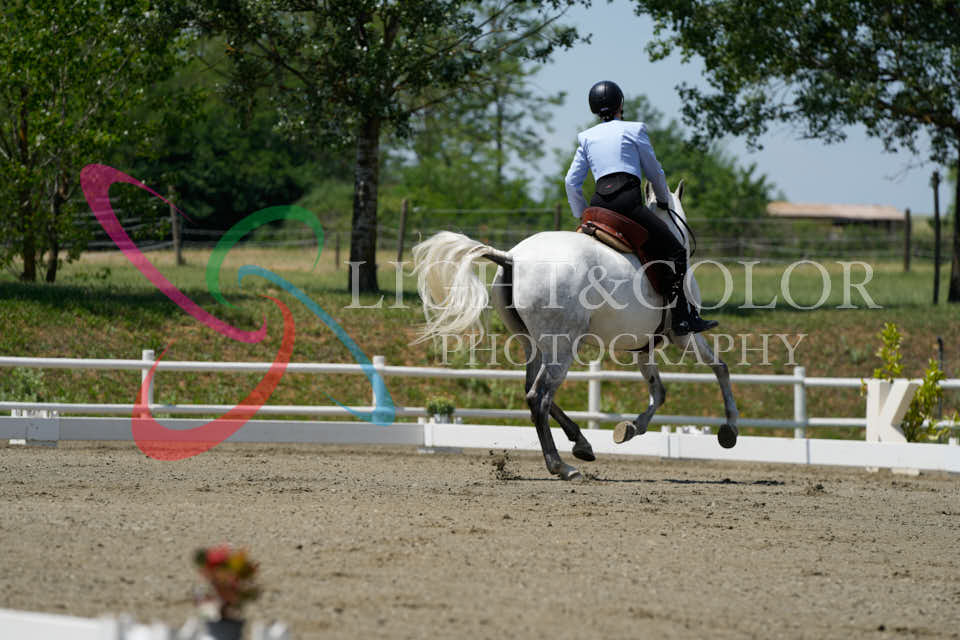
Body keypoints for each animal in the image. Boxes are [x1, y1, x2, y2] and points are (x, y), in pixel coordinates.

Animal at [412, 181, 739, 480]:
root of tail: (512, 257)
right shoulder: (684, 335)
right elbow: (719, 367)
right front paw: (730, 430)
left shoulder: (643, 347)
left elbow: (658, 392)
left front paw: (630, 428)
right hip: (563, 347)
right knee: (539, 397)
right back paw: (561, 466)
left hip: (534, 344)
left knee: (532, 389)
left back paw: (581, 443)